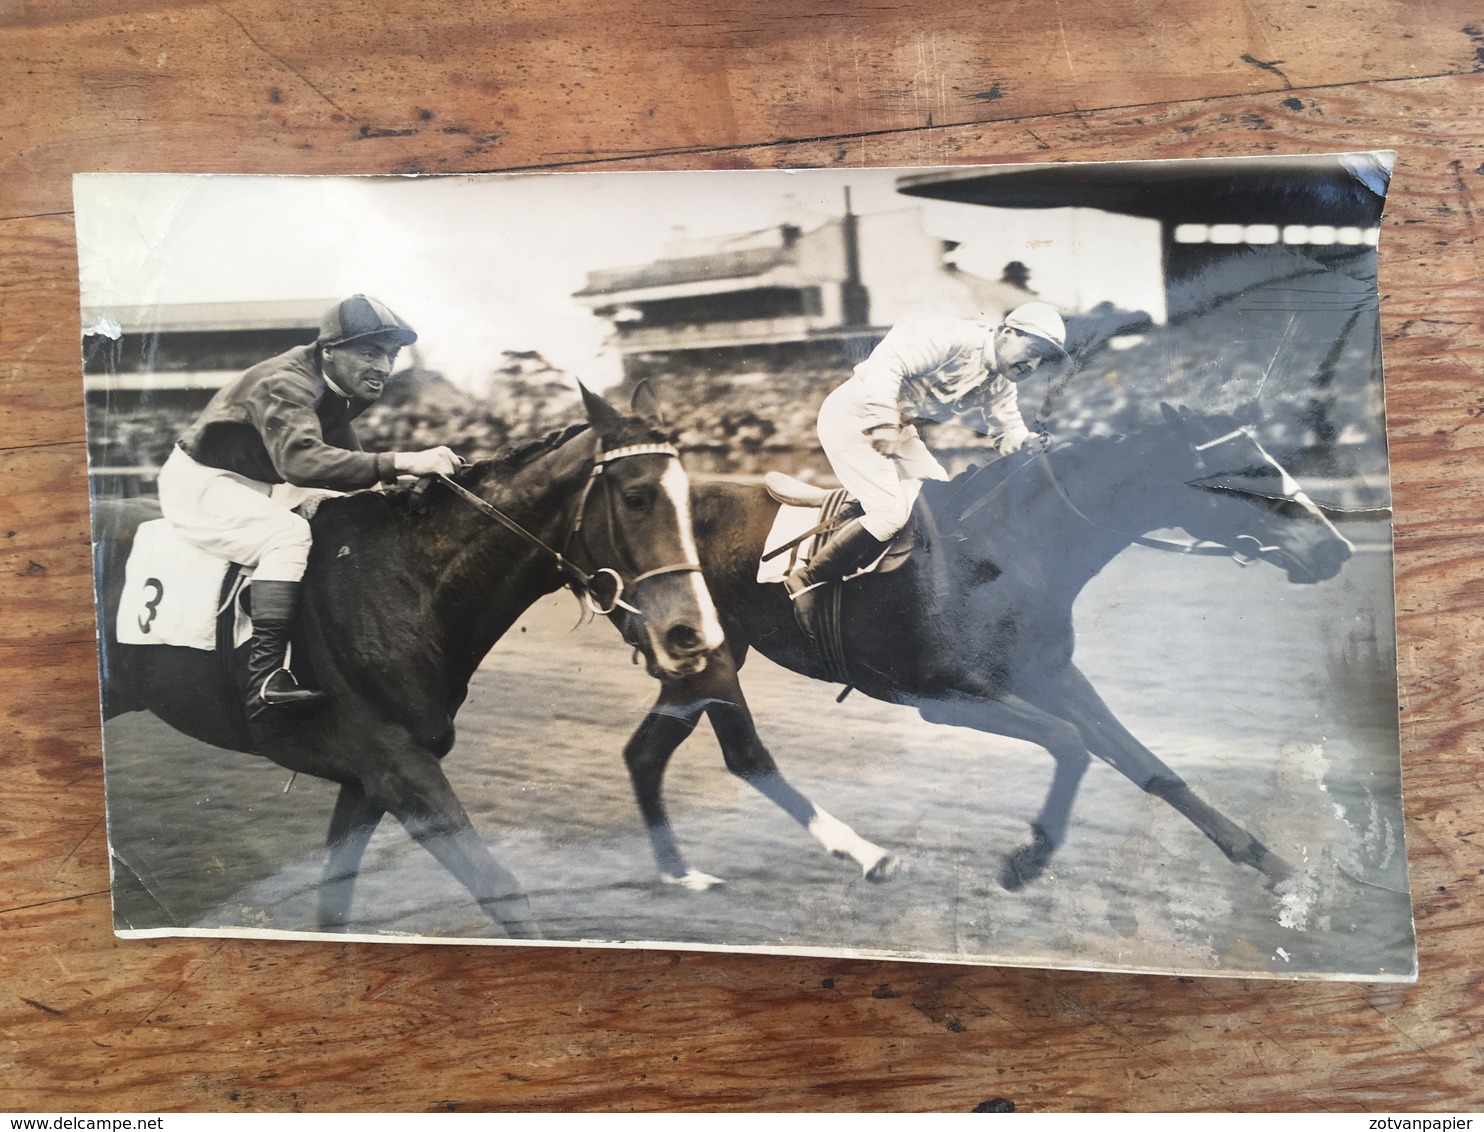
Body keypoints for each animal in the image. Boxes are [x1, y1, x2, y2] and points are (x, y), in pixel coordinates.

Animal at [94, 385, 724, 931]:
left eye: (689, 499)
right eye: (636, 497)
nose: (693, 635)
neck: (404, 584)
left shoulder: (367, 783)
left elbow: (335, 902)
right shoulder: (400, 768)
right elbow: (501, 890)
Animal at [611, 406, 1359, 896]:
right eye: (1251, 470)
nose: (1338, 548)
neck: (1013, 546)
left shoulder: (1050, 674)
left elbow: (1149, 766)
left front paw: (1268, 861)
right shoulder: (944, 696)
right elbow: (1071, 744)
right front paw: (1025, 862)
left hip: (704, 655)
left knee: (647, 752)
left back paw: (679, 870)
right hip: (708, 657)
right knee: (733, 754)